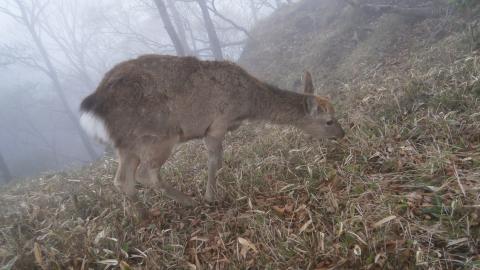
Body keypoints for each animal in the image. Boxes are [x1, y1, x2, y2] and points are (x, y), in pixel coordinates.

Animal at [79, 54, 344, 214]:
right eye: (329, 121)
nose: (342, 134)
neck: (247, 104)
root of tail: (95, 106)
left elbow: (219, 158)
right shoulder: (217, 123)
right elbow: (214, 159)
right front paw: (211, 196)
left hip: (126, 146)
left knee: (122, 180)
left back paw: (143, 216)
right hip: (158, 136)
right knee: (146, 173)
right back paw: (188, 201)